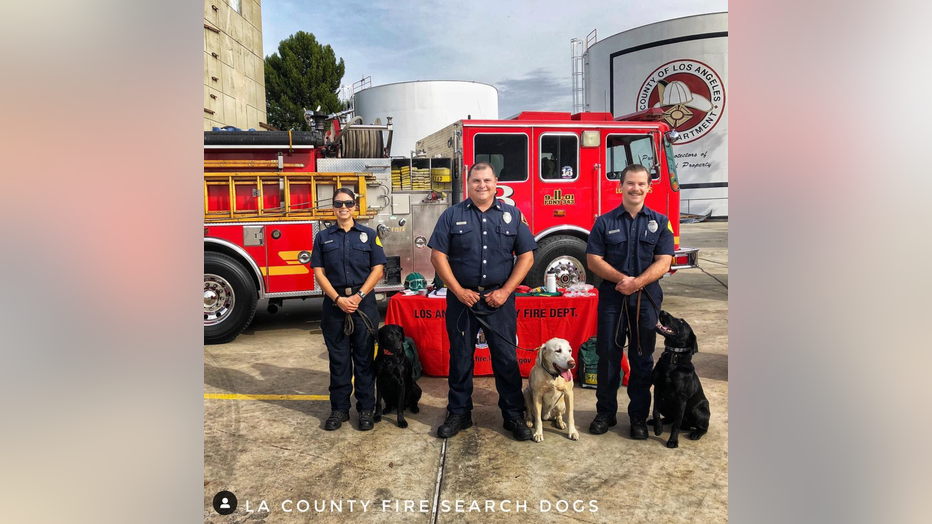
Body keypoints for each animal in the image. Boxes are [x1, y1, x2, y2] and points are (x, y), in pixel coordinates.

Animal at [652, 310, 708, 448]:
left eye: (681, 321)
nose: (662, 311)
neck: (674, 358)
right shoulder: (657, 389)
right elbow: (655, 411)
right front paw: (657, 427)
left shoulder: (681, 399)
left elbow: (676, 424)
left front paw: (673, 441)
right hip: (664, 403)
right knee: (670, 418)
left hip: (698, 411)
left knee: (702, 428)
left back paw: (696, 434)